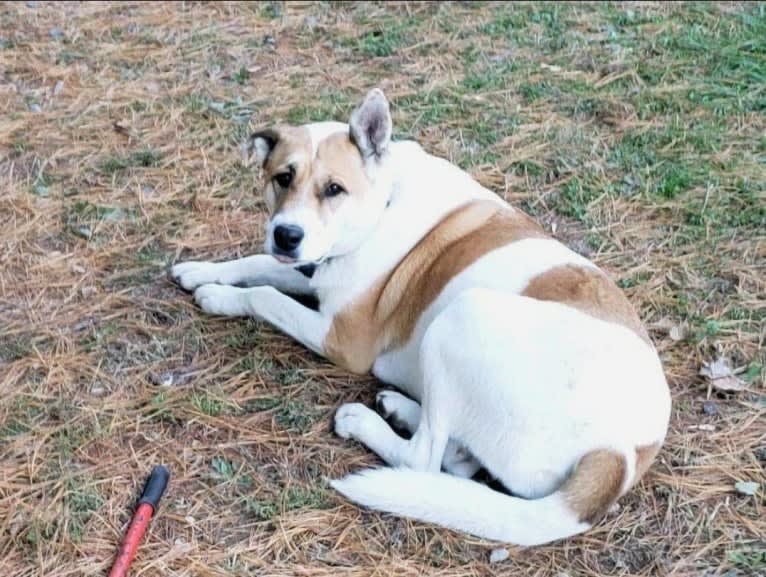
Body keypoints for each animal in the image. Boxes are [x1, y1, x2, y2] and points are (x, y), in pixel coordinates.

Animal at [171, 88, 668, 544]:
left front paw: (218, 295)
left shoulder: (341, 337)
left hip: (463, 316)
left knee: (424, 458)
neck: (383, 203)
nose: (287, 235)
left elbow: (265, 296)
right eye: (282, 178)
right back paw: (401, 407)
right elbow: (258, 265)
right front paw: (204, 273)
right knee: (456, 459)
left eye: (333, 189)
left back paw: (366, 421)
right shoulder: (313, 272)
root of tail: (619, 452)